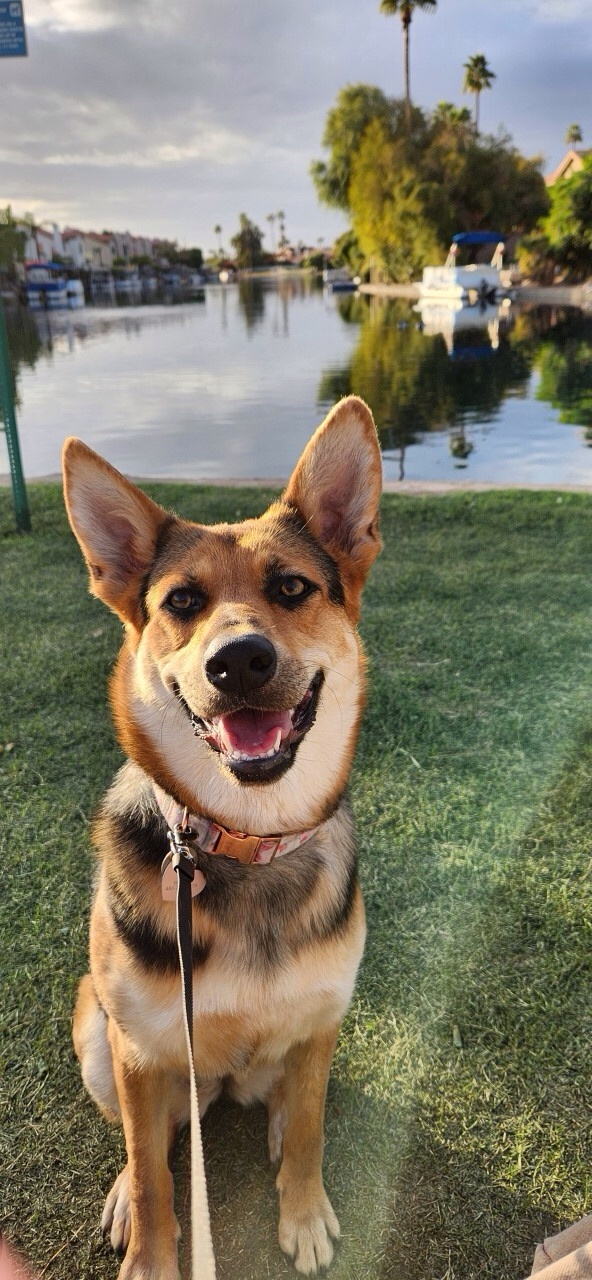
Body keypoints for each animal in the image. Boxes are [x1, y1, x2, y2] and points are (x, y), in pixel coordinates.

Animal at [62, 394, 381, 1274]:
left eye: (292, 587)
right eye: (181, 603)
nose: (238, 660)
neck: (245, 840)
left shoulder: (320, 1021)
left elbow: (309, 1129)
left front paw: (302, 1214)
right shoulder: (138, 1049)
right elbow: (153, 1173)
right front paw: (151, 1256)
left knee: (288, 1101)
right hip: (96, 1034)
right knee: (149, 1141)